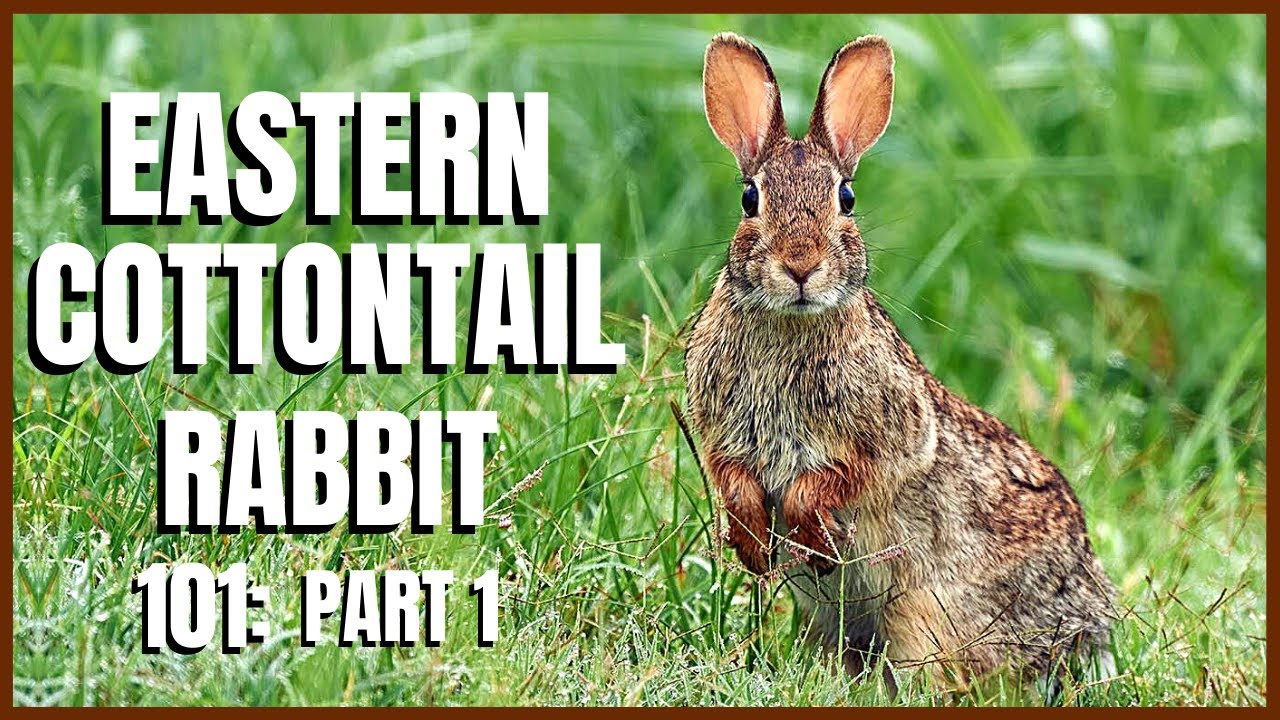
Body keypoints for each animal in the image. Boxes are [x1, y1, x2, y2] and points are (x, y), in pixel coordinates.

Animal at [685, 32, 1116, 690]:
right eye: (749, 198)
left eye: (846, 198)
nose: (801, 265)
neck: (790, 323)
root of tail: (1084, 631)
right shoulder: (722, 437)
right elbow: (731, 478)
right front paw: (752, 545)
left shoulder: (894, 436)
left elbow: (846, 476)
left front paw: (807, 535)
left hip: (928, 617)